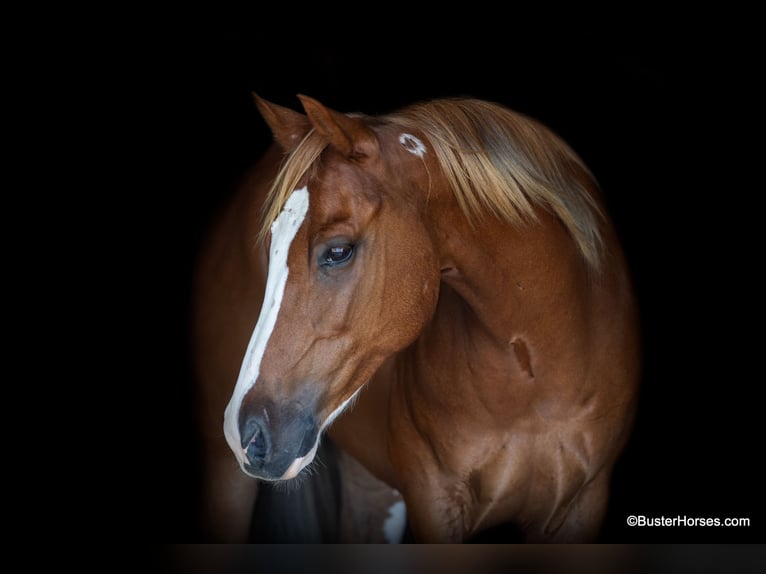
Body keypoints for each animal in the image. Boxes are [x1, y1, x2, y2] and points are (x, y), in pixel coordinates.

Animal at [192, 94, 640, 544]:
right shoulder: (435, 501)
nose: (247, 432)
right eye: (269, 246)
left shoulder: (582, 504)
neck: (535, 378)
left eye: (338, 251)